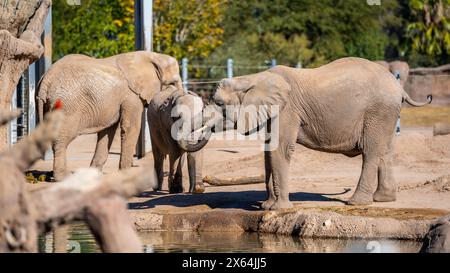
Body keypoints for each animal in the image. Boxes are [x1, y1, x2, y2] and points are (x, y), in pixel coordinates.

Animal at [36, 50, 182, 181]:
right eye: (172, 83)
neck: (151, 56)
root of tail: (46, 79)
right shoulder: (131, 96)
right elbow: (130, 128)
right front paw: (126, 175)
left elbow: (107, 131)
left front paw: (94, 175)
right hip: (66, 106)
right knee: (61, 139)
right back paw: (62, 177)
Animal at [195, 57, 430, 209]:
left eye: (219, 103)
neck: (253, 78)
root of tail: (399, 87)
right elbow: (268, 152)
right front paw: (266, 206)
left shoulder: (288, 110)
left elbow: (280, 150)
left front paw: (279, 209)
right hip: (386, 114)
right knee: (385, 150)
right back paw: (383, 199)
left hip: (378, 111)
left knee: (371, 152)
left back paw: (356, 203)